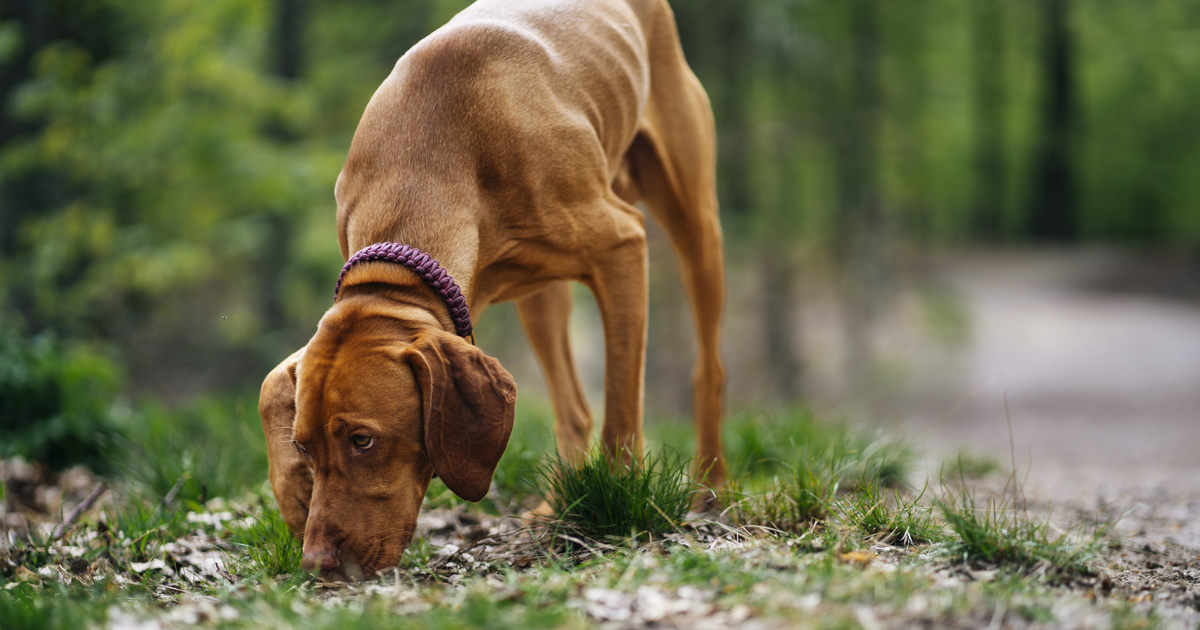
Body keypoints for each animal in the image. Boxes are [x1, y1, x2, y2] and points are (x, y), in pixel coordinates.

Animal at [259, 0, 724, 578]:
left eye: (363, 440)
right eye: (303, 446)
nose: (317, 564)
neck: (423, 167)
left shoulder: (622, 245)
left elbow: (621, 409)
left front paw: (621, 503)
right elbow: (271, 383)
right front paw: (294, 499)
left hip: (694, 220)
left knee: (708, 368)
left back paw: (710, 487)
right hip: (540, 296)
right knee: (573, 409)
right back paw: (557, 506)